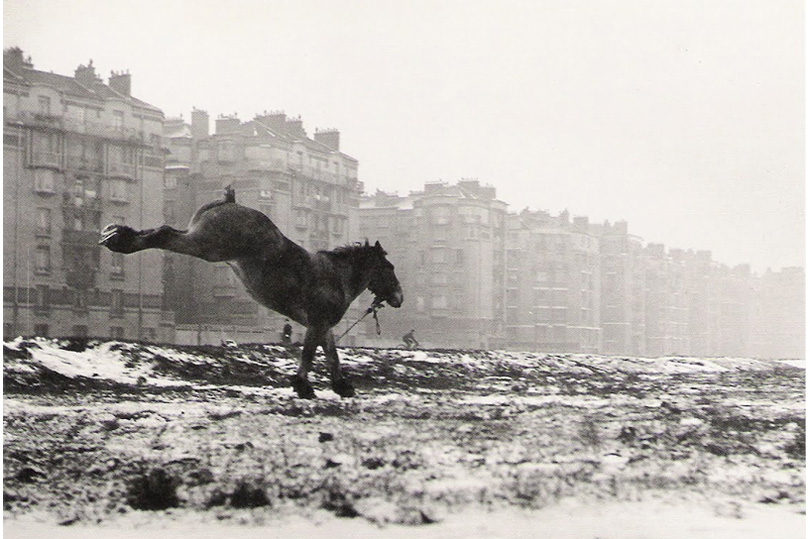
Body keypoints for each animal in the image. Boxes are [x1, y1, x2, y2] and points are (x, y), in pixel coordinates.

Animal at [99, 188, 402, 398]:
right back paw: (118, 240)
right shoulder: (317, 323)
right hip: (205, 246)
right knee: (163, 233)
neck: (334, 275)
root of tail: (229, 202)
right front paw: (303, 386)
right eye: (388, 267)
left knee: (160, 231)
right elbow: (309, 353)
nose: (399, 297)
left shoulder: (322, 324)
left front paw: (341, 386)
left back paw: (116, 234)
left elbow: (330, 353)